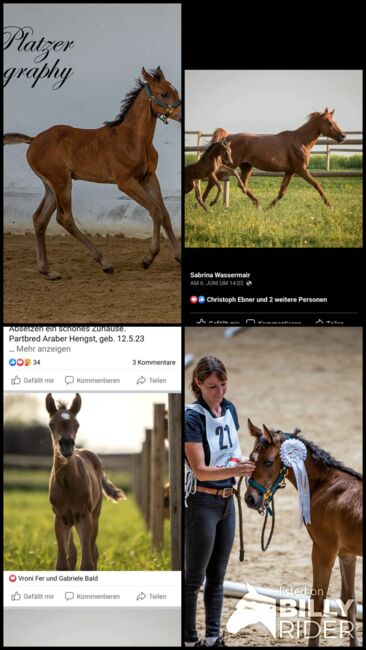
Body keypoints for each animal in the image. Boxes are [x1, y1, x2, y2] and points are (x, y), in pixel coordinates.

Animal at [46, 390, 126, 568]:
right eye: (51, 424)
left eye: (77, 424)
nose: (66, 444)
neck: (67, 484)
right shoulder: (59, 519)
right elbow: (62, 563)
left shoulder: (85, 518)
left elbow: (87, 563)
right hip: (70, 522)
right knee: (73, 553)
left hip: (94, 516)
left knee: (93, 550)